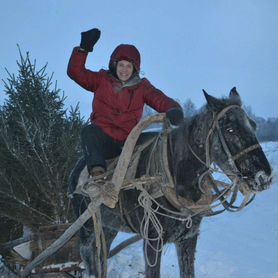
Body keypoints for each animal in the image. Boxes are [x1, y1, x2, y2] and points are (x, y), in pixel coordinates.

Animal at [68, 87, 272, 278]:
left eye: (254, 125)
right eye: (230, 129)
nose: (265, 177)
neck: (174, 178)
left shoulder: (188, 237)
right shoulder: (152, 240)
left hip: (108, 227)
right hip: (87, 228)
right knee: (90, 261)